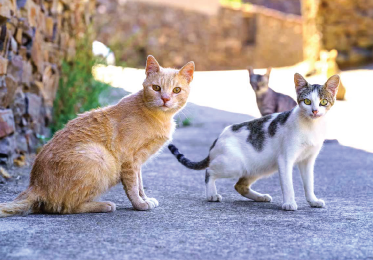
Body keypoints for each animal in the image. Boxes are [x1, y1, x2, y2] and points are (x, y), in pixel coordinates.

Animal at [0, 55, 195, 217]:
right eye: (156, 88)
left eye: (176, 90)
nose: (165, 99)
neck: (158, 117)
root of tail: (35, 184)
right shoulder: (129, 160)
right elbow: (132, 186)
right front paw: (140, 204)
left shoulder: (138, 162)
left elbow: (140, 184)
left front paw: (145, 199)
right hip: (100, 156)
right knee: (65, 207)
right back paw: (103, 205)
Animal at [170, 73, 338, 211]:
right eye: (307, 101)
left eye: (323, 102)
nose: (315, 111)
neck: (311, 126)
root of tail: (217, 140)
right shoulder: (285, 159)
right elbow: (288, 184)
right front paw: (289, 203)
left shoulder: (307, 160)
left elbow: (309, 183)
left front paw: (313, 201)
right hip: (234, 165)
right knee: (209, 171)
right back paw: (212, 194)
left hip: (260, 167)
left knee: (239, 185)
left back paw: (260, 197)